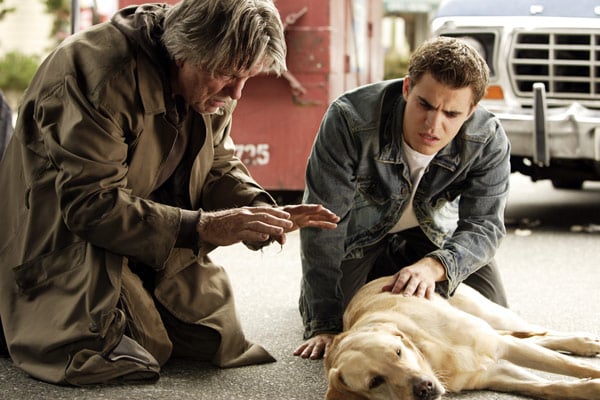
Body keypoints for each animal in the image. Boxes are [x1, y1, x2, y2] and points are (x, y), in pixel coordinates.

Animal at [324, 276, 600, 400]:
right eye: (375, 382)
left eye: (398, 352)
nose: (424, 388)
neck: (432, 357)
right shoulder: (497, 372)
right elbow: (551, 386)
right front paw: (589, 388)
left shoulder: (502, 347)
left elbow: (571, 366)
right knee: (534, 338)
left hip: (494, 316)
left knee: (538, 332)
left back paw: (583, 342)